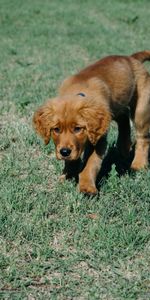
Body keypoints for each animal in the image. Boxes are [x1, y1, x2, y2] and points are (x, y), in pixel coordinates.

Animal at [33, 50, 150, 196]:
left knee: (142, 138)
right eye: (56, 129)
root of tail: (131, 58)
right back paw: (124, 146)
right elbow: (72, 160)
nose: (64, 152)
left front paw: (87, 188)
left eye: (78, 128)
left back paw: (138, 164)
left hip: (141, 109)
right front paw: (67, 175)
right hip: (115, 108)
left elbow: (90, 164)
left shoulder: (98, 140)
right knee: (123, 117)